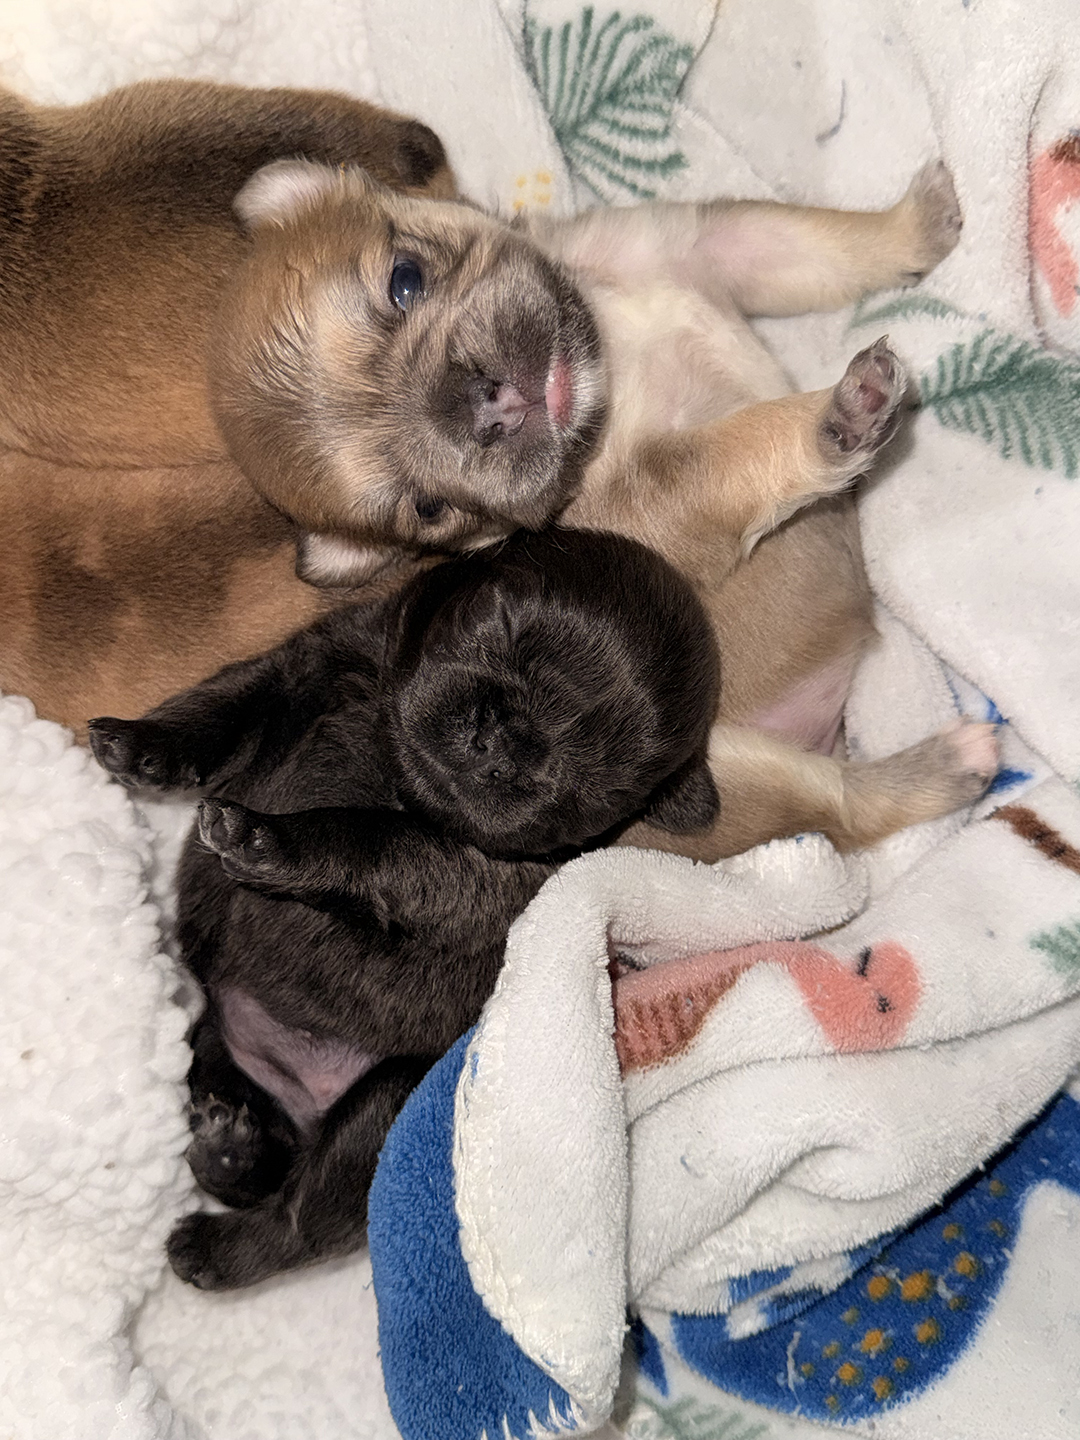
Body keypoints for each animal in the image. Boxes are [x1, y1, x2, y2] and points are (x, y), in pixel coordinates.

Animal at [89, 526, 721, 1289]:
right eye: (501, 623)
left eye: (604, 774)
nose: (510, 745)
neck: (396, 772)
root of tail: (300, 1109)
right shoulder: (315, 658)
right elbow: (229, 701)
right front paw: (144, 745)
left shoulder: (472, 873)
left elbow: (368, 838)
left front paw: (270, 840)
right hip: (212, 1042)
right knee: (256, 1158)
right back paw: (228, 1145)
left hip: (386, 1106)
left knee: (297, 1223)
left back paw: (212, 1245)